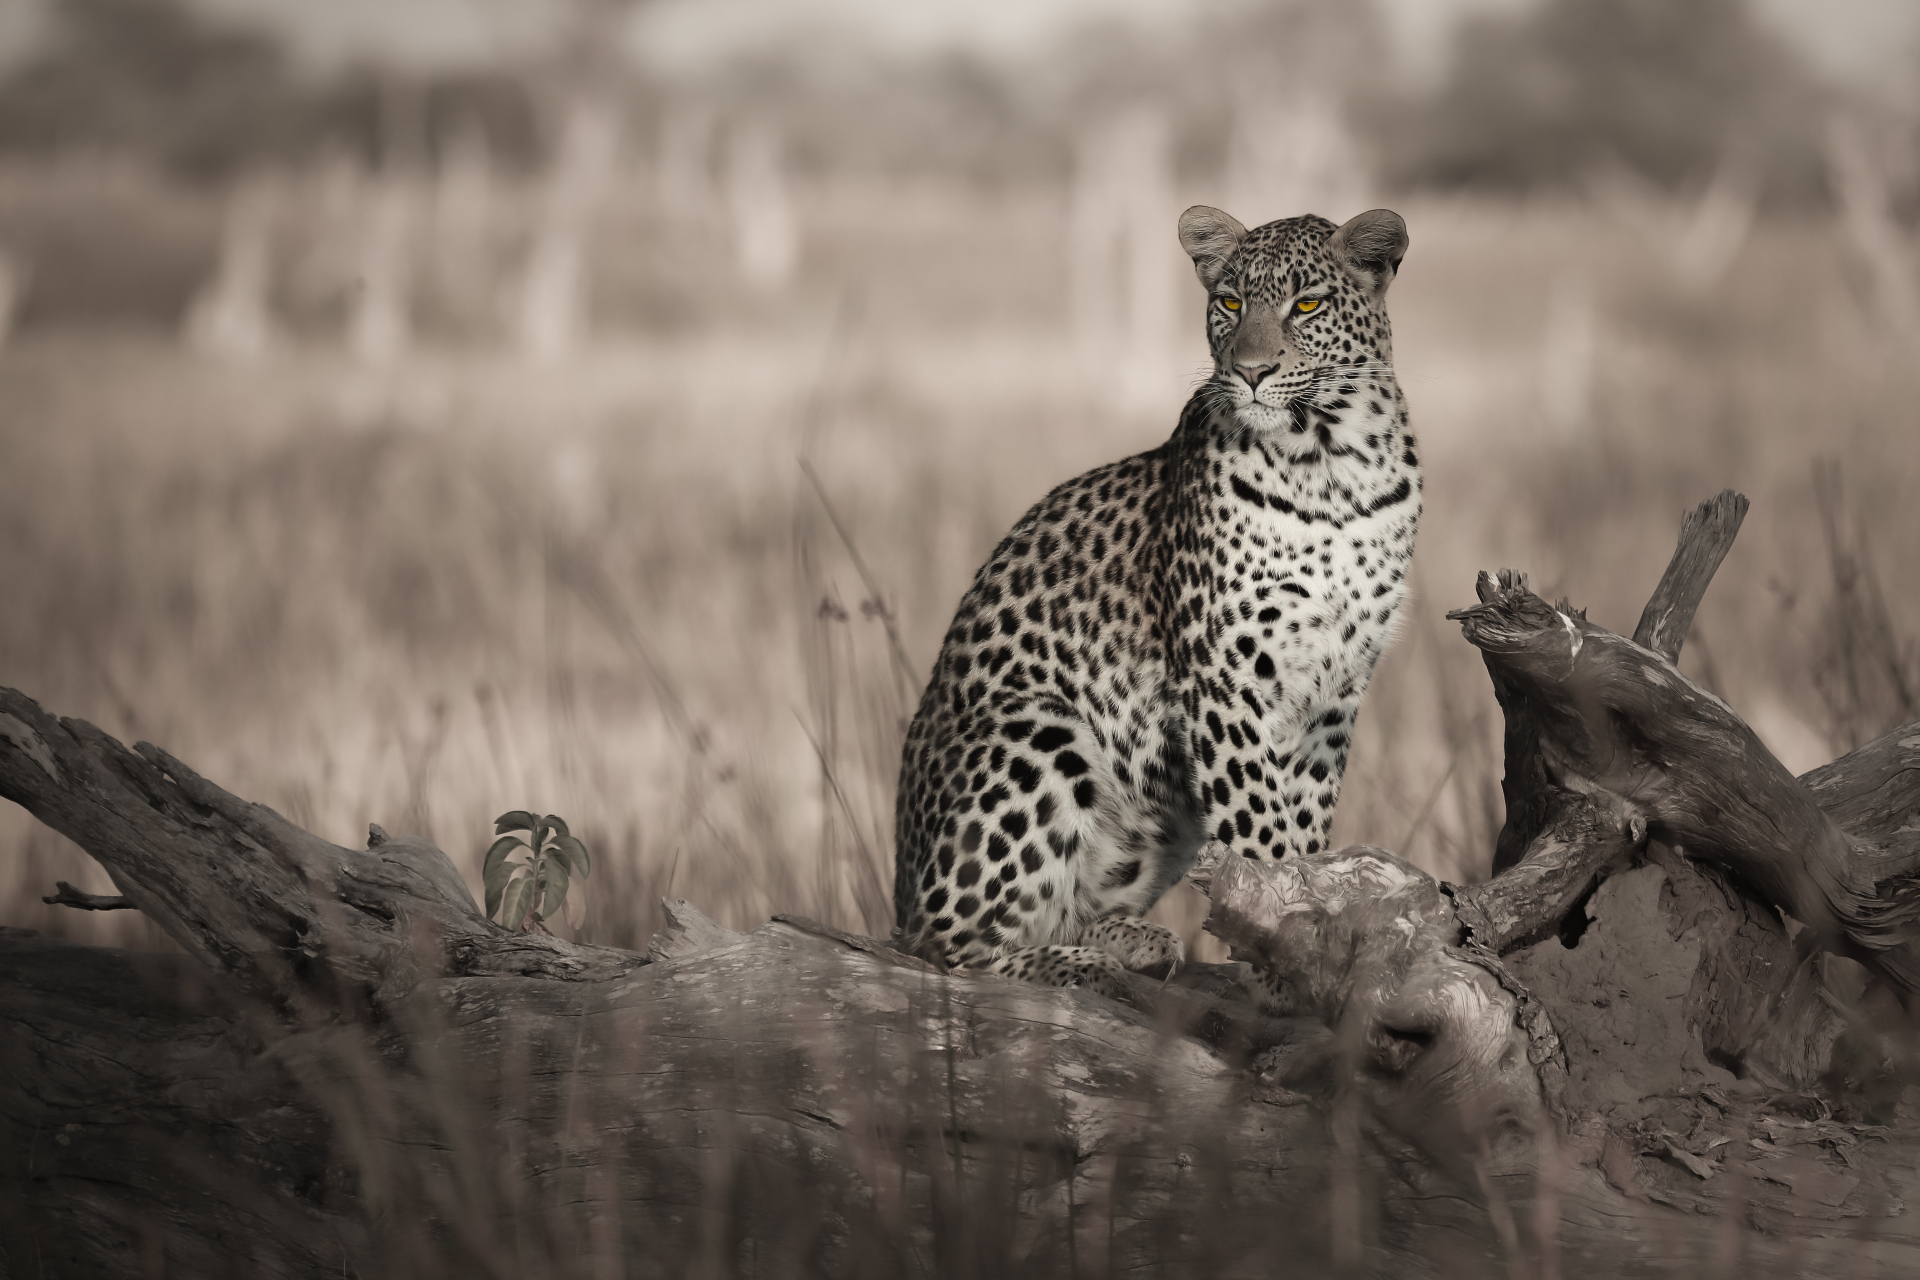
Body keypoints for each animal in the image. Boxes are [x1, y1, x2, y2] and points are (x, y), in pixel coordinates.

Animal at [893, 205, 1420, 996]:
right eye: (1229, 302)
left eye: (1306, 306)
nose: (1251, 371)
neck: (1331, 464)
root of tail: (895, 894)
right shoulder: (1225, 672)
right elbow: (1261, 833)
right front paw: (1290, 959)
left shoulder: (1336, 692)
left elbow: (1304, 829)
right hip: (1037, 732)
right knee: (948, 945)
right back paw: (1080, 964)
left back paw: (1132, 941)